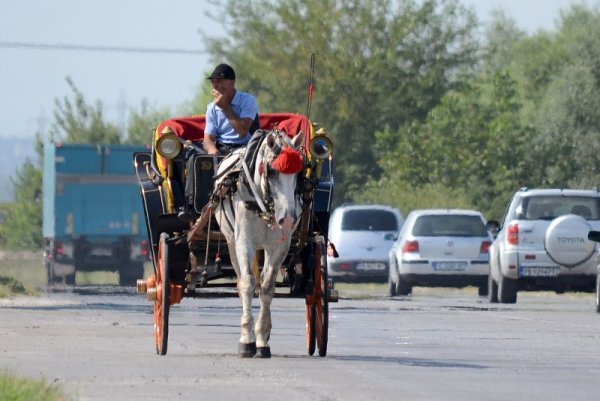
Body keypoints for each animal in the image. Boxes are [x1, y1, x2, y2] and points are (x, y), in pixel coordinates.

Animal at [213, 130, 304, 358]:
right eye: (271, 171)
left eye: (299, 173)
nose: (288, 219)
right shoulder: (244, 242)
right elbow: (247, 283)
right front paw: (247, 340)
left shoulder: (279, 247)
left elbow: (267, 287)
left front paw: (262, 339)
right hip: (231, 242)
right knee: (241, 281)